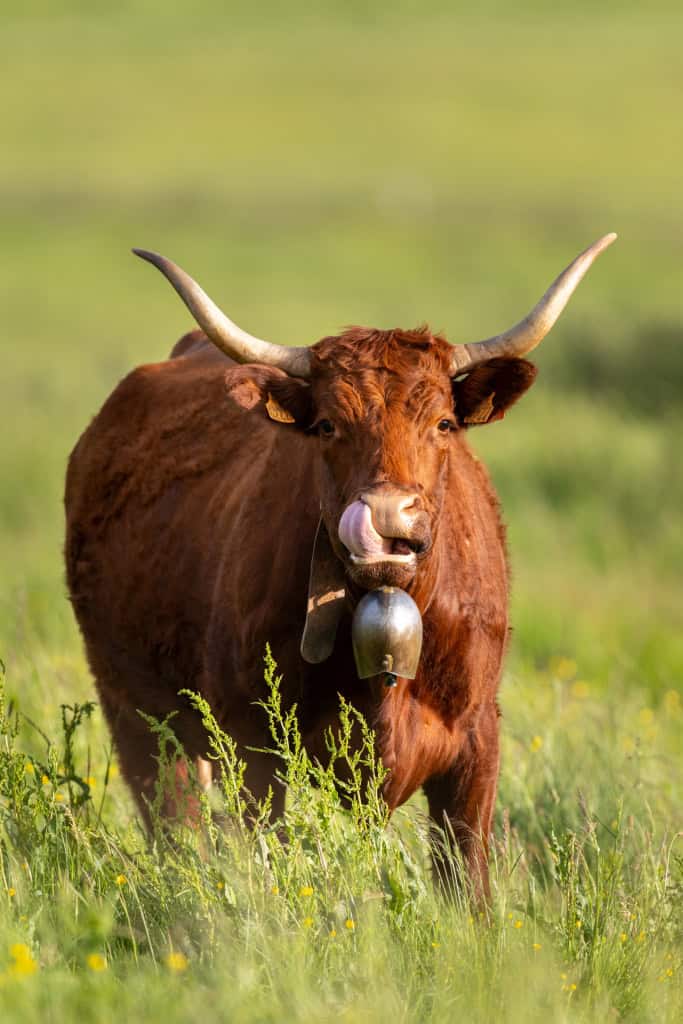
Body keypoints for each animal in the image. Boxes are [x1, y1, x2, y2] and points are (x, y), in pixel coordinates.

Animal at [64, 234, 615, 895]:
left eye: (445, 423)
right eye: (327, 425)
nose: (386, 517)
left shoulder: (477, 744)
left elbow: (467, 883)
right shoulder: (253, 747)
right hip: (138, 713)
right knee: (176, 826)